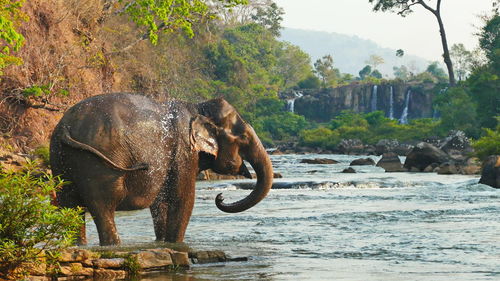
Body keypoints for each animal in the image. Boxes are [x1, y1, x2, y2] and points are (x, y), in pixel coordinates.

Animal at [50, 92, 274, 245]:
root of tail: (65, 127)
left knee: (70, 205)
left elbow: (160, 204)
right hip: (97, 165)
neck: (197, 108)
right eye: (243, 138)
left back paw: (78, 245)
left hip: (60, 160)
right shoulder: (184, 152)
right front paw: (176, 245)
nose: (220, 197)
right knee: (103, 206)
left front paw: (162, 243)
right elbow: (183, 200)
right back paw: (113, 245)